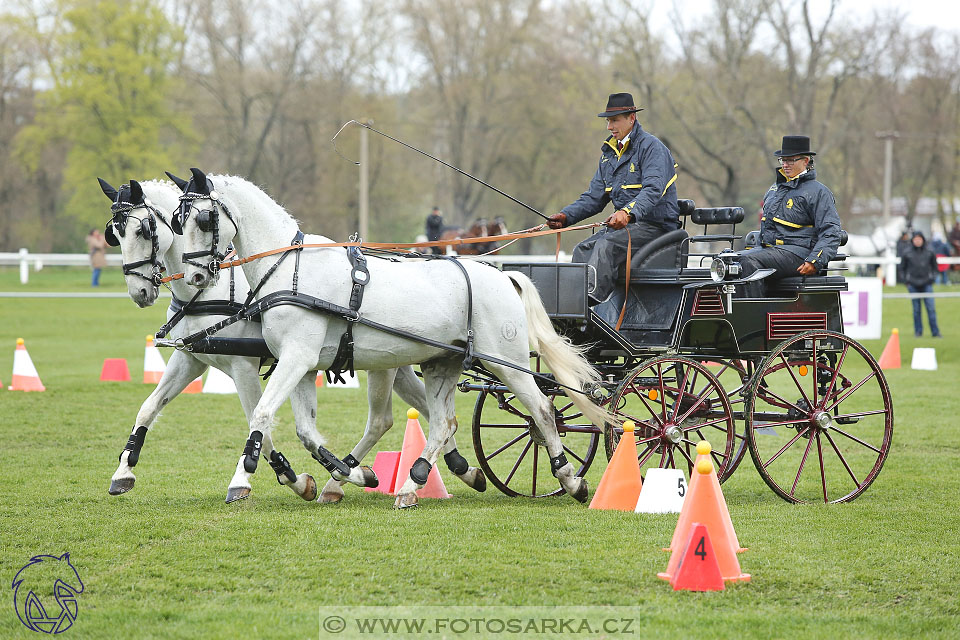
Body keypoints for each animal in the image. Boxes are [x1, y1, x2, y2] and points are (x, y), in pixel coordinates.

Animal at [97, 178, 462, 502]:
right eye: (114, 234)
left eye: (143, 230)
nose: (139, 292)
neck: (209, 292)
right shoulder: (191, 359)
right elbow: (148, 408)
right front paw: (123, 472)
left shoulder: (243, 367)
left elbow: (258, 419)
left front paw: (276, 478)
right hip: (397, 361)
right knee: (432, 413)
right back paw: (459, 468)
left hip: (384, 363)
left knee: (391, 419)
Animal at [170, 168, 612, 508]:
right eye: (177, 221)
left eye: (203, 220)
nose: (194, 276)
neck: (290, 269)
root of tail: (503, 275)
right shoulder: (300, 364)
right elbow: (306, 432)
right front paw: (346, 474)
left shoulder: (296, 359)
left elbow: (262, 414)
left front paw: (247, 474)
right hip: (441, 363)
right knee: (442, 422)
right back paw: (413, 483)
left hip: (508, 363)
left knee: (542, 411)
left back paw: (571, 479)